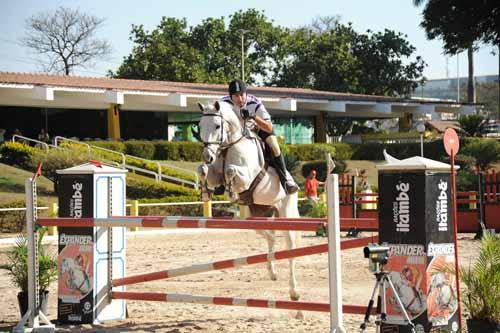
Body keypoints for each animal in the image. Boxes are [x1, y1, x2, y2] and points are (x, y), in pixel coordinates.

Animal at [196, 100, 300, 304]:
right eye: (200, 126)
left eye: (217, 126)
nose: (208, 156)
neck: (229, 146)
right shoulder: (214, 172)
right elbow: (203, 170)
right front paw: (206, 191)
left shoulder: (245, 177)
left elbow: (230, 171)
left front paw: (230, 192)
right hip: (255, 217)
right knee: (271, 237)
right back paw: (272, 272)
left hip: (286, 212)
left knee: (290, 247)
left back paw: (294, 291)